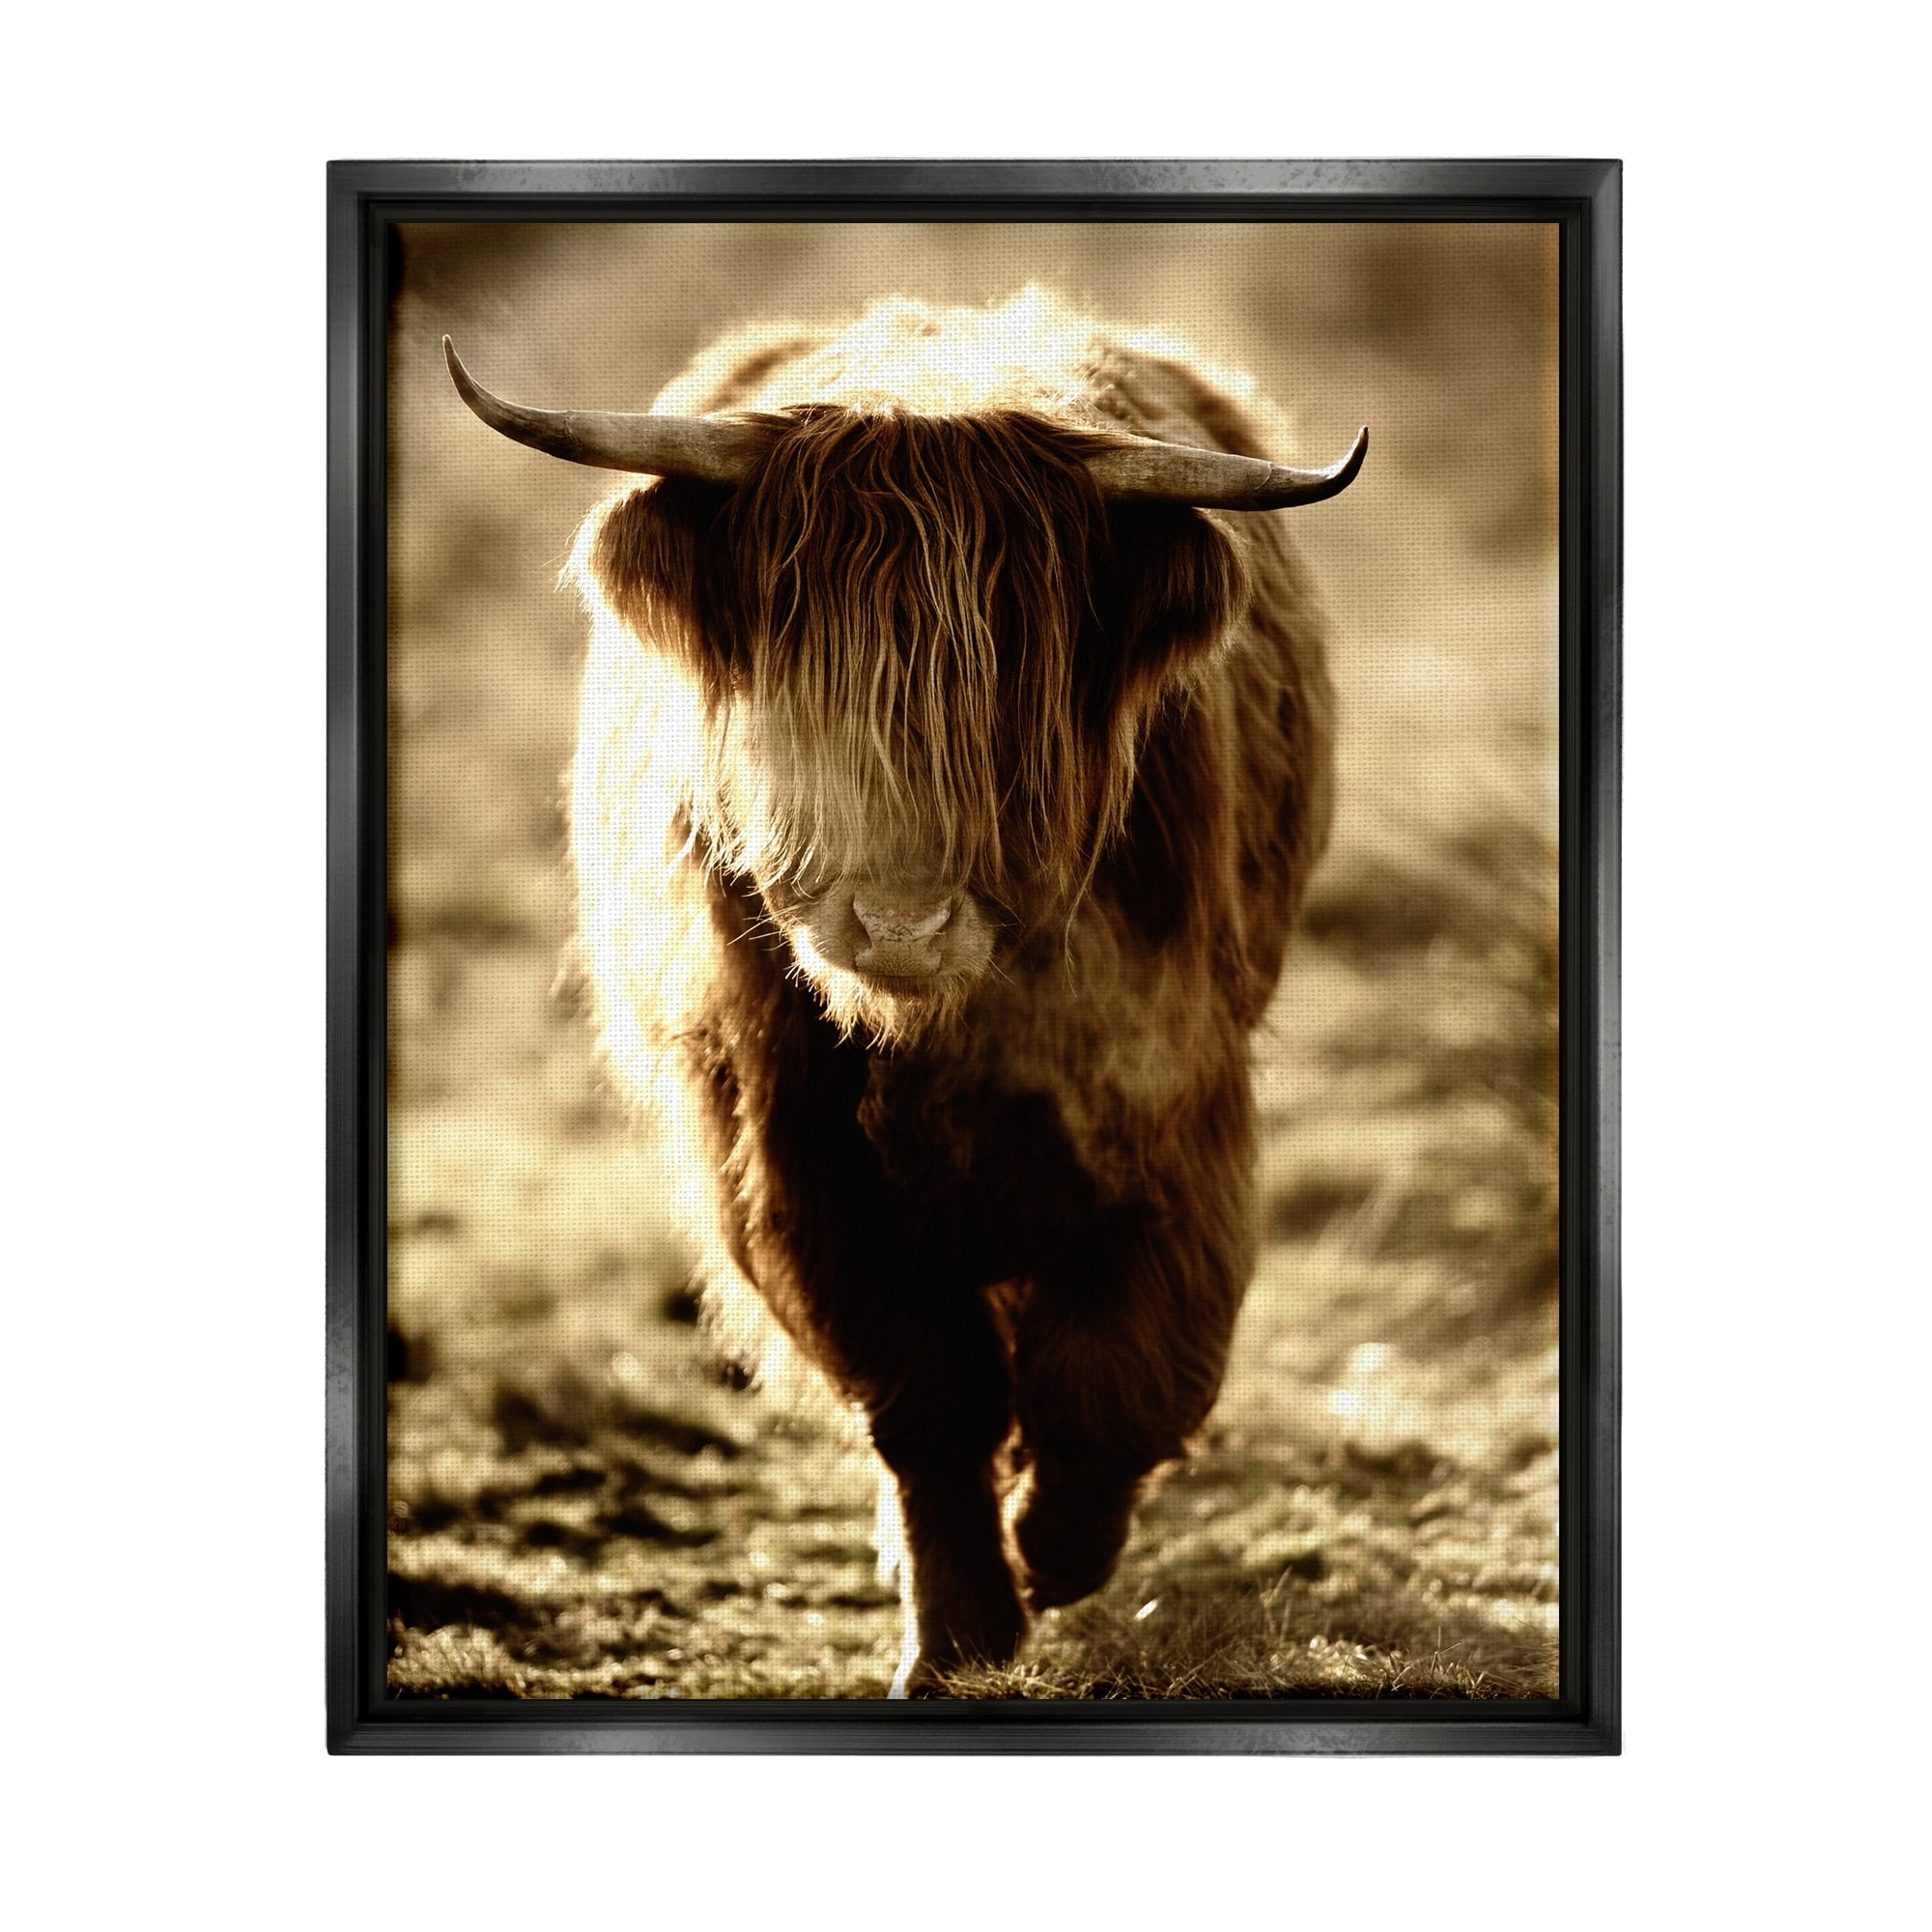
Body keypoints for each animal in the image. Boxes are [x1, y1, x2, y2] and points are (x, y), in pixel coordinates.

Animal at [443, 289, 1365, 1695]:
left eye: (1016, 679)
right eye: (798, 670)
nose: (899, 919)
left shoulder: (1168, 1101)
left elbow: (1123, 1369)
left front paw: (1059, 1548)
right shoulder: (785, 1147)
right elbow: (923, 1388)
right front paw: (961, 1636)